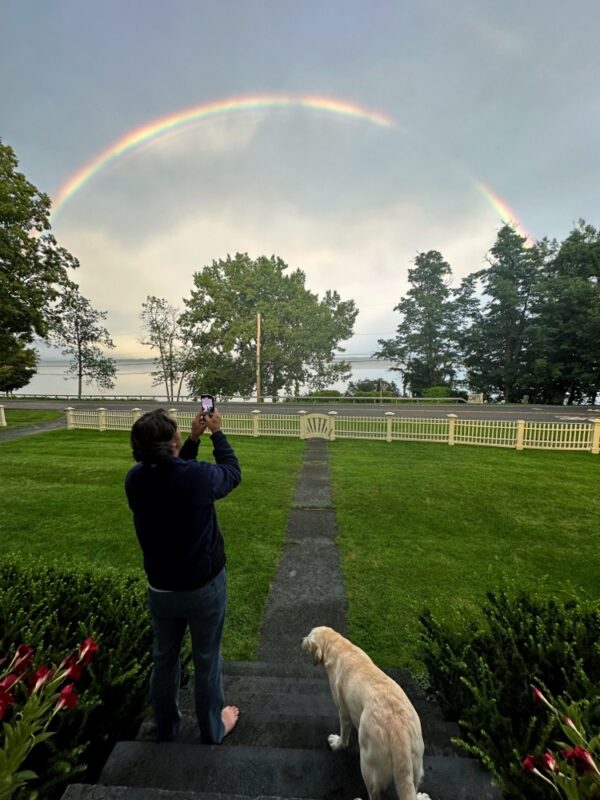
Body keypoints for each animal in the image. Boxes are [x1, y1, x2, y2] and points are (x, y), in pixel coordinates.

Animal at [302, 624, 428, 800]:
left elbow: (344, 736)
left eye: (309, 636)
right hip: (416, 762)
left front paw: (337, 743)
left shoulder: (343, 710)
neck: (338, 646)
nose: (302, 640)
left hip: (369, 763)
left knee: (374, 793)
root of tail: (399, 733)